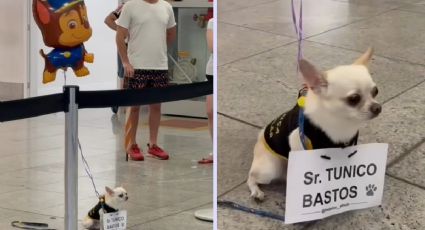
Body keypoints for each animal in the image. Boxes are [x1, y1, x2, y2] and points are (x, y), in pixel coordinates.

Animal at [247, 48, 380, 199]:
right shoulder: (298, 142)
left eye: (375, 91)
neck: (340, 123)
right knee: (251, 176)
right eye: (354, 99)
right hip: (269, 169)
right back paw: (256, 190)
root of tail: (260, 138)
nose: (378, 107)